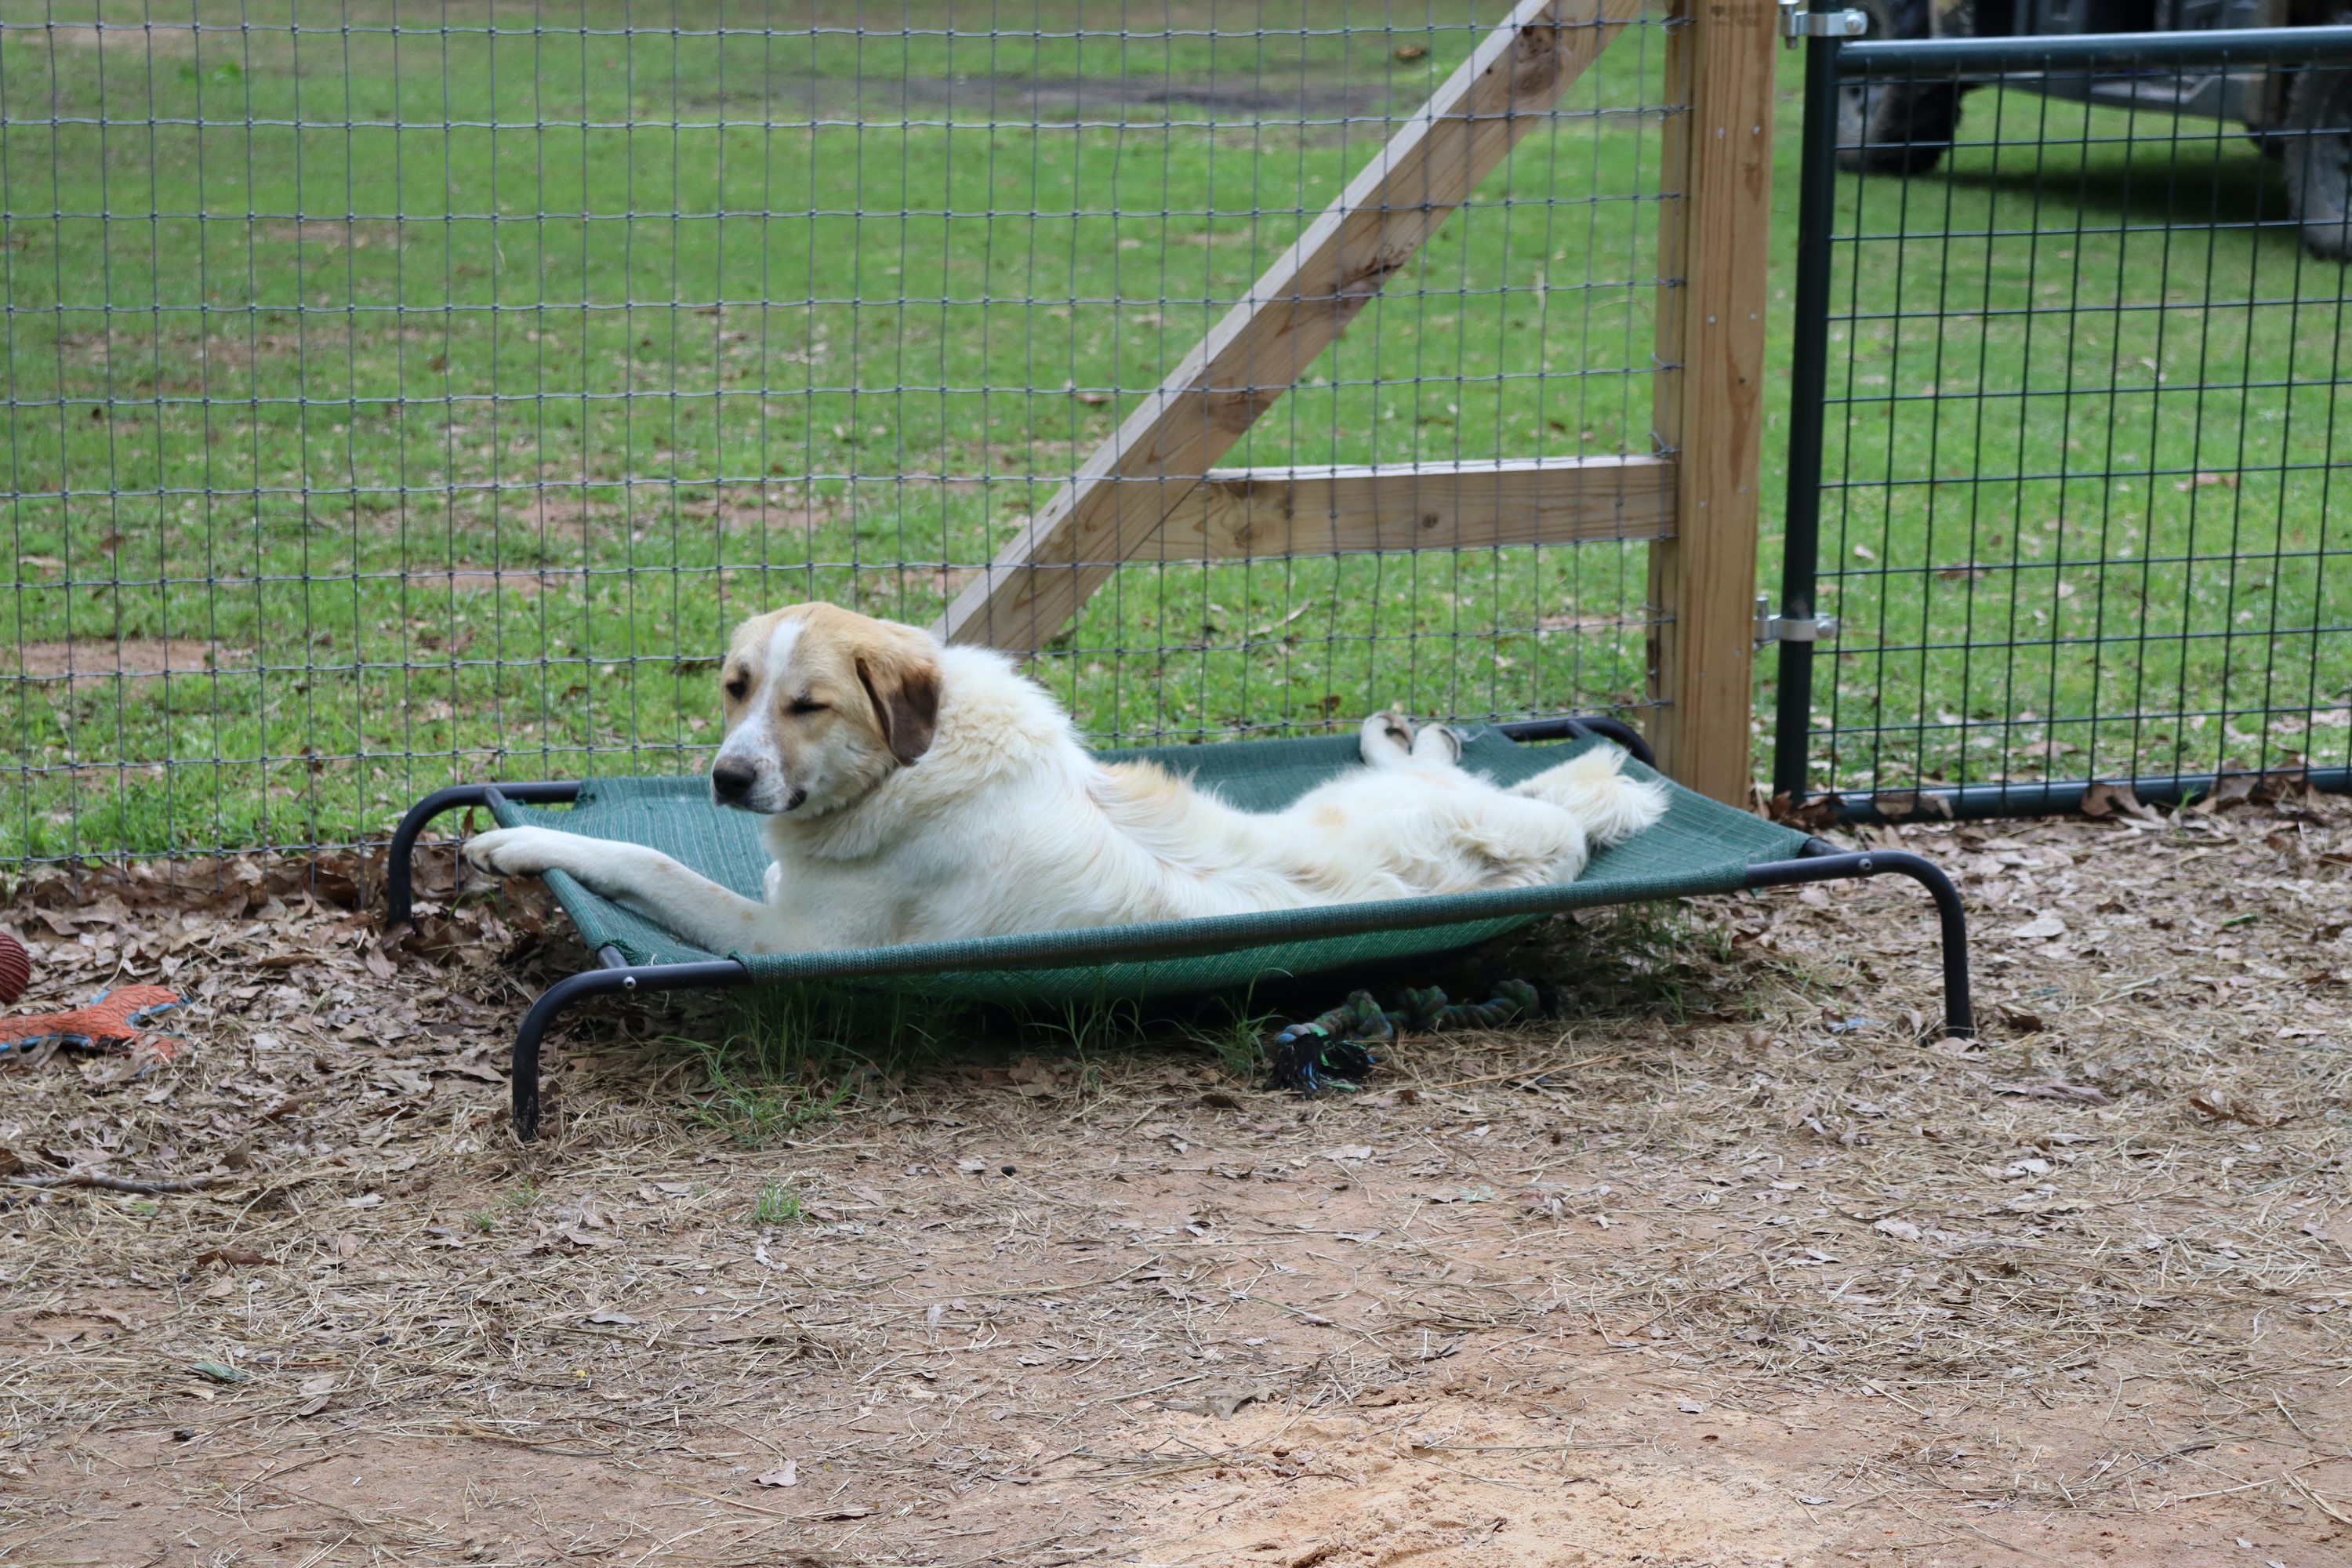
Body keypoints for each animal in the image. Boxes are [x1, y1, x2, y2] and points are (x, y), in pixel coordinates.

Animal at [463, 606, 1675, 959]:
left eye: (809, 706)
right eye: (735, 687)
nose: (725, 778)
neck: (911, 767)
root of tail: (1546, 853)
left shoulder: (787, 943)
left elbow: (648, 858)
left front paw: (521, 842)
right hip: (1336, 808)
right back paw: (1398, 733)